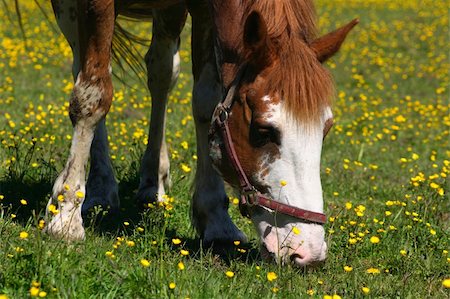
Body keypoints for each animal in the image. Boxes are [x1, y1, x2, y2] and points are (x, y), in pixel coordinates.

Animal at [44, 0, 356, 268]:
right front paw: (66, 214)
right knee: (87, 68)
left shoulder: (204, 10)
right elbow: (93, 95)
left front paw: (216, 220)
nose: (309, 252)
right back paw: (100, 189)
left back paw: (153, 183)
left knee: (161, 71)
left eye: (325, 128)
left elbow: (207, 101)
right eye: (263, 130)